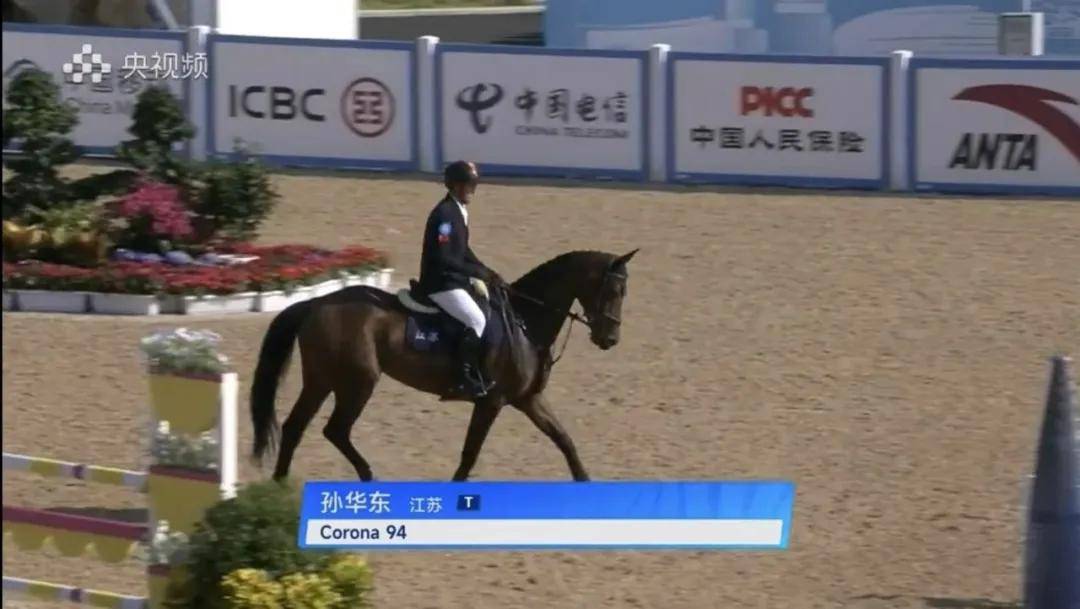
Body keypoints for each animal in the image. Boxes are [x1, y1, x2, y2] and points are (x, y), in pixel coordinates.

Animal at [249, 248, 639, 482]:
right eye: (613, 291)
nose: (610, 339)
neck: (526, 320)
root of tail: (316, 304)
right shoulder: (492, 401)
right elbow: (470, 454)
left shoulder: (528, 398)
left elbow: (564, 440)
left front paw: (585, 482)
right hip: (357, 382)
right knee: (335, 430)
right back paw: (367, 476)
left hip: (322, 379)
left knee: (295, 426)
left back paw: (280, 486)